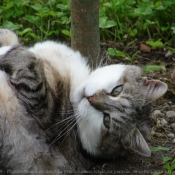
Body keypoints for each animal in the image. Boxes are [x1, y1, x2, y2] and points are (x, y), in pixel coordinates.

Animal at [0, 28, 168, 174]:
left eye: (107, 120)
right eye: (117, 90)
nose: (91, 98)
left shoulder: (44, 112)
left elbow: (31, 64)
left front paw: (10, 52)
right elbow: (14, 40)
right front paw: (5, 36)